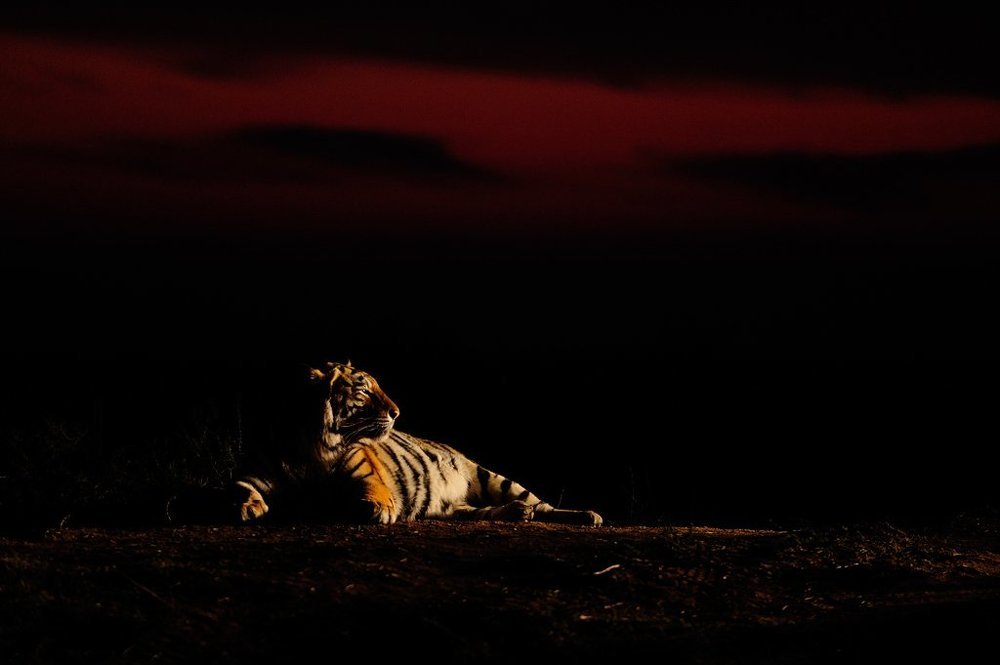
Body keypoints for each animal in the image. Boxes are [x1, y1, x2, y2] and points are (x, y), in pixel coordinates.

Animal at [232, 361, 602, 526]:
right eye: (364, 390)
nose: (397, 413)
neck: (312, 446)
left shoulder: (365, 472)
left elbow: (372, 490)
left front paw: (376, 508)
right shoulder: (252, 474)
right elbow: (241, 490)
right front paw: (247, 507)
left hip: (492, 477)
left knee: (543, 505)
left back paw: (587, 515)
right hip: (457, 507)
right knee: (479, 511)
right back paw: (517, 513)